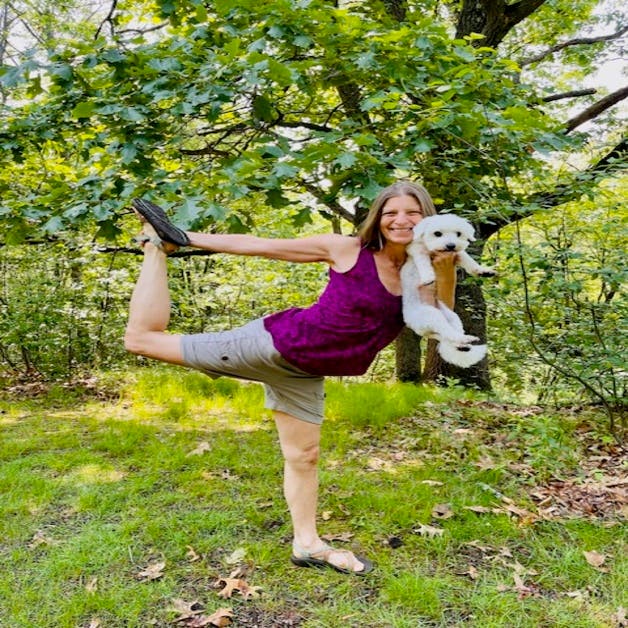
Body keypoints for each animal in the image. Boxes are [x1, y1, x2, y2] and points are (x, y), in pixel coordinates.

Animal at [402, 213, 496, 368]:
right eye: (437, 233)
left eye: (458, 234)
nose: (451, 245)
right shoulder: (416, 250)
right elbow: (423, 261)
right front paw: (428, 277)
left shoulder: (457, 255)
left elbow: (468, 260)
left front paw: (482, 270)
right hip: (430, 315)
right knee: (448, 332)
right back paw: (464, 340)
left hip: (452, 318)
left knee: (448, 334)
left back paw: (463, 343)